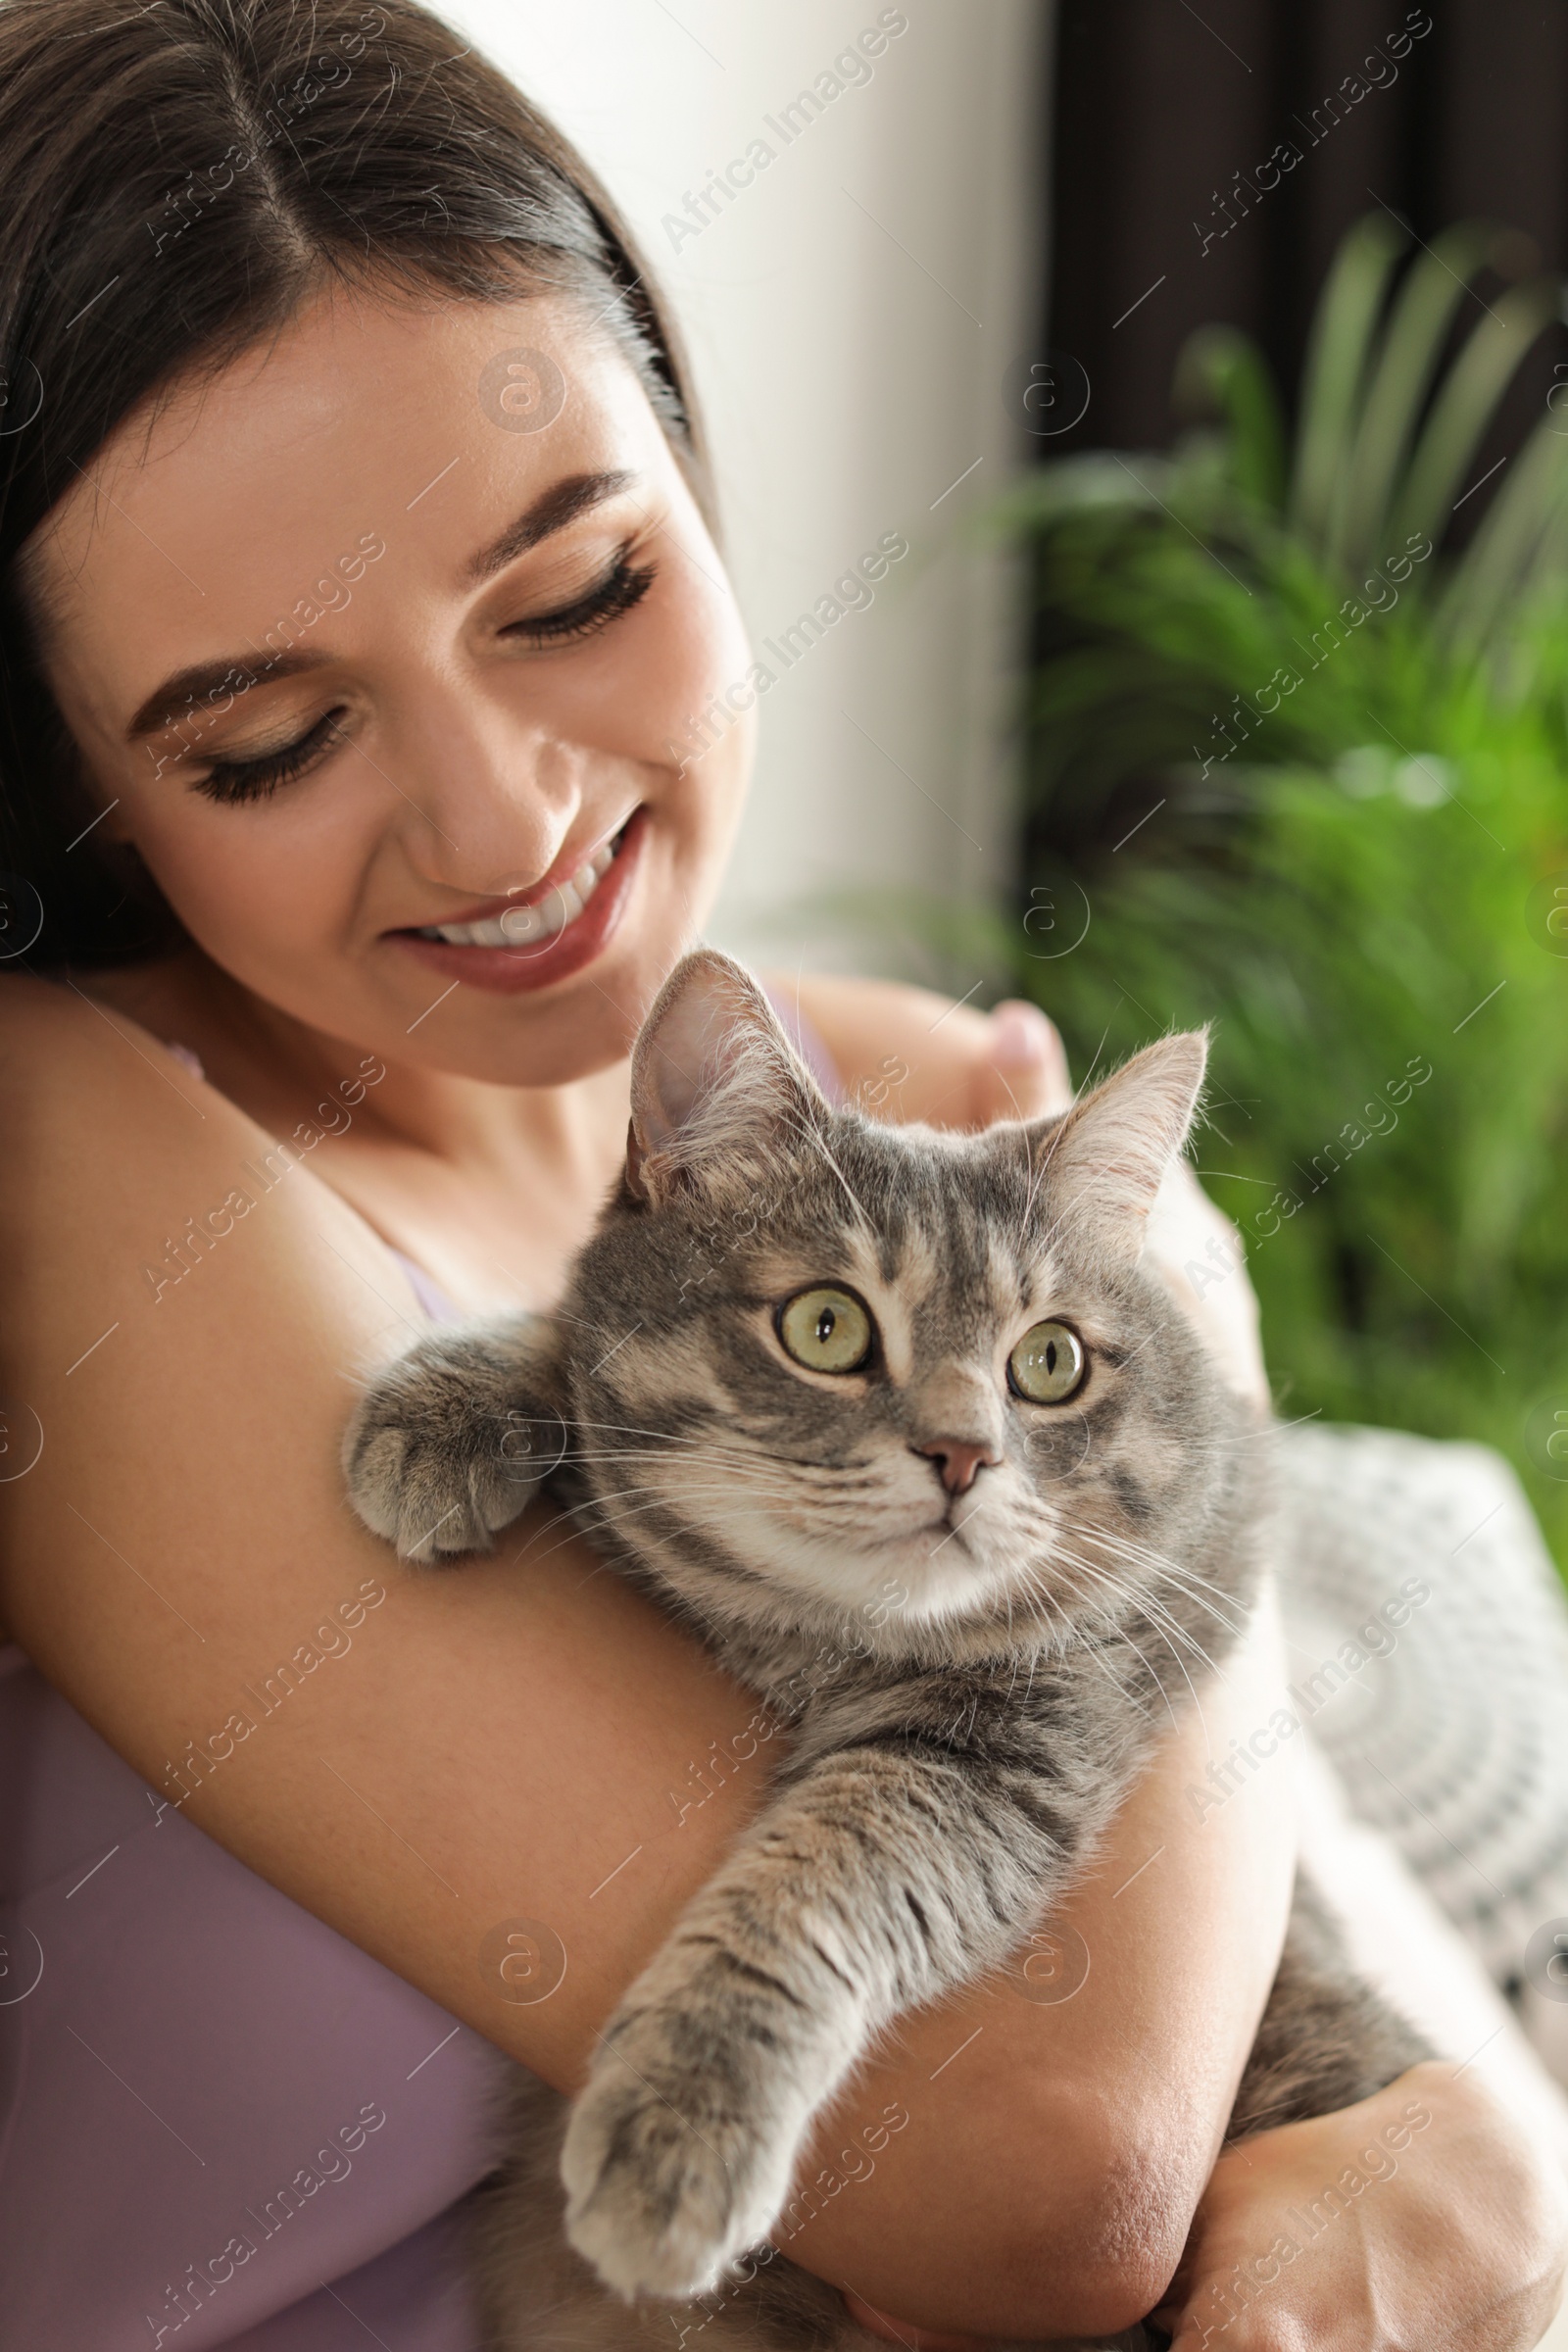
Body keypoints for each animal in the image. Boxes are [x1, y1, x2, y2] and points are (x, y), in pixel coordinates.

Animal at [345, 945, 1439, 2342]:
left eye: (1050, 1361)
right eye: (826, 1327)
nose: (963, 1454)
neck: (812, 1639)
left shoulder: (998, 1748)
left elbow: (809, 1897)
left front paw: (685, 2122)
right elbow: (567, 1344)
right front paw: (452, 1402)